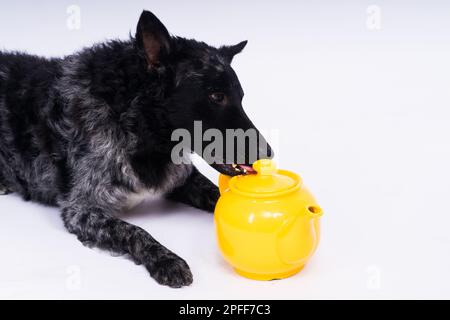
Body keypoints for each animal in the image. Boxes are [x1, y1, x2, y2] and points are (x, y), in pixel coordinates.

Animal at [0, 10, 270, 288]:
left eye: (240, 97)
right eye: (217, 96)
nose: (268, 153)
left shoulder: (184, 179)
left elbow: (219, 196)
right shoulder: (82, 209)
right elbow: (134, 231)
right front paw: (166, 259)